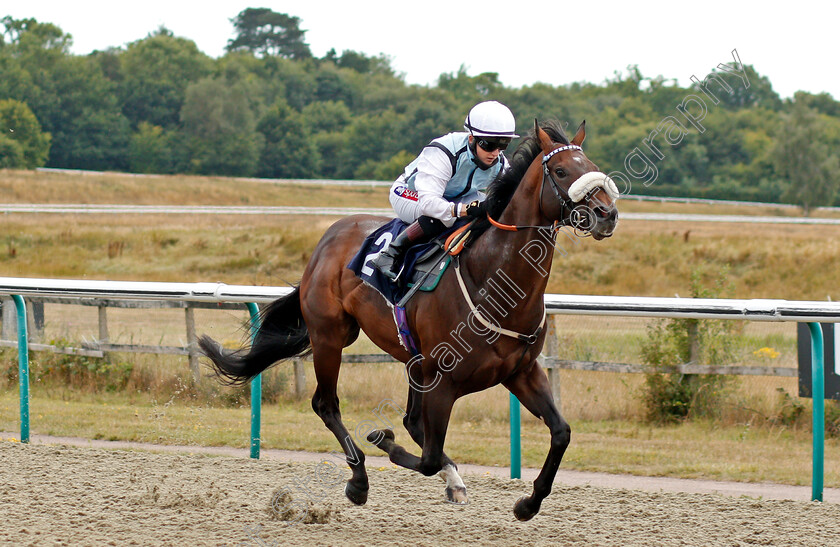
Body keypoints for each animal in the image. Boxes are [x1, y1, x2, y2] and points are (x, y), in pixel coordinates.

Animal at [197, 120, 616, 524]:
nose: (607, 214)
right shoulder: (444, 381)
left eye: (592, 166)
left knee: (411, 421)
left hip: (412, 359)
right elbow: (427, 457)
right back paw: (359, 480)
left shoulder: (521, 372)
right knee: (327, 404)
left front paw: (528, 503)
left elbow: (561, 433)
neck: (493, 280)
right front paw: (384, 442)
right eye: (561, 171)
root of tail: (326, 241)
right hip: (330, 336)